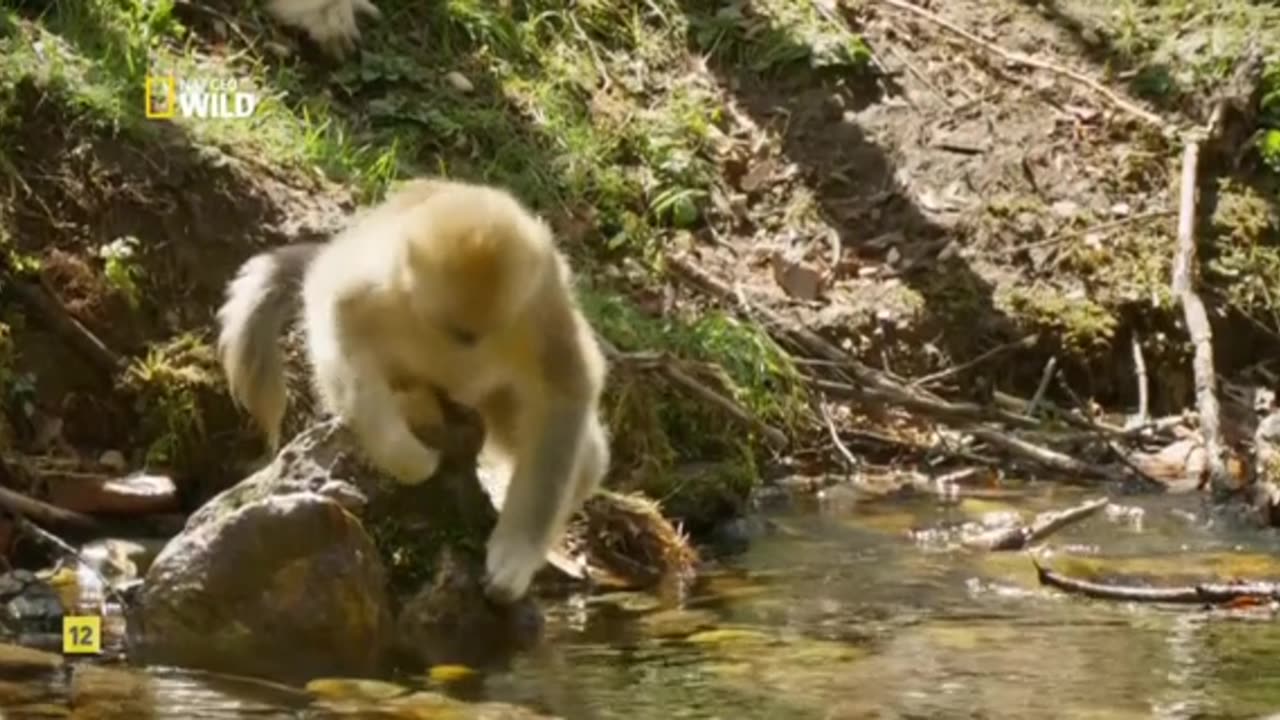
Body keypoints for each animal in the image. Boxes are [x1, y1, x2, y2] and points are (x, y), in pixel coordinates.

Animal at [215, 178, 609, 599]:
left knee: (584, 458)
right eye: (453, 330)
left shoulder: (542, 307)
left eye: (473, 335)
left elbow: (567, 391)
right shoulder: (374, 284)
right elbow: (336, 316)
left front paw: (515, 558)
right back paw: (415, 406)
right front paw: (408, 456)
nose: (467, 352)